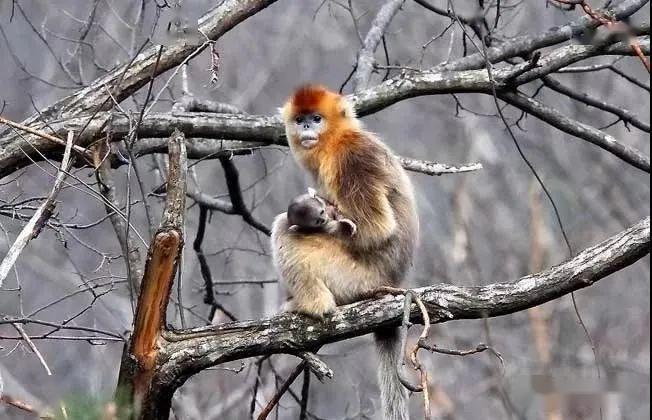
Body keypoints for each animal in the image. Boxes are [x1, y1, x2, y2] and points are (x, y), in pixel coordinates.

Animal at [272, 83, 420, 418]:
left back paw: (312, 305)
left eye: (316, 118)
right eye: (300, 119)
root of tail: (391, 282)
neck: (335, 140)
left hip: (354, 278)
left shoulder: (351, 159)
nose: (307, 128)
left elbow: (377, 228)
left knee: (283, 229)